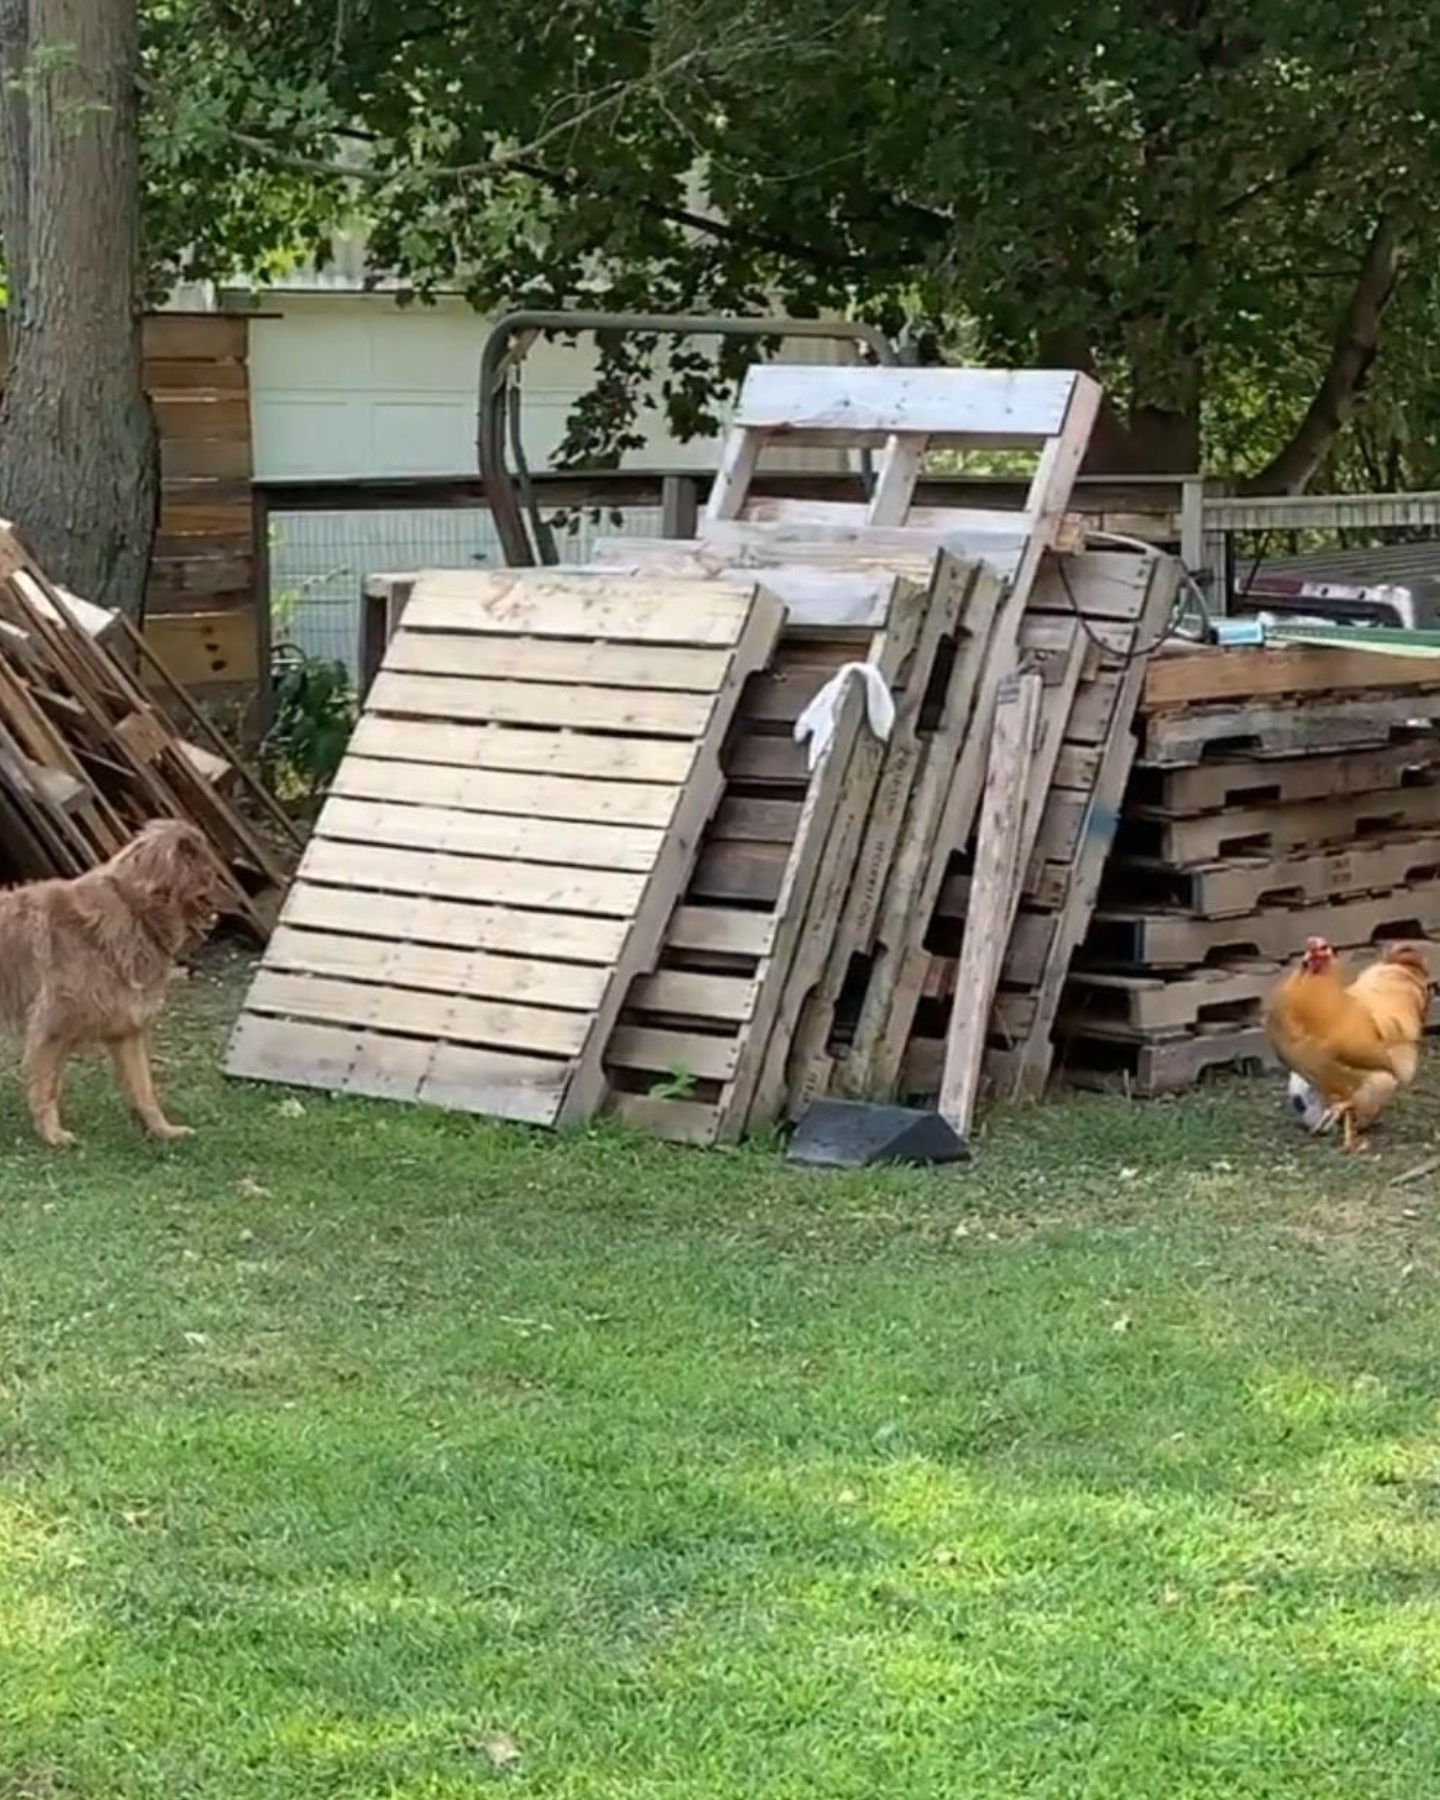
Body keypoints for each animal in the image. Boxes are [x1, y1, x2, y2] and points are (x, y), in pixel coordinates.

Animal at [0, 824, 230, 1144]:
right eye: (210, 873)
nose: (237, 902)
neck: (134, 911)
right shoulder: (51, 1027)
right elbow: (48, 1087)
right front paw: (53, 1136)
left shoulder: (127, 1030)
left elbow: (144, 1090)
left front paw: (163, 1130)